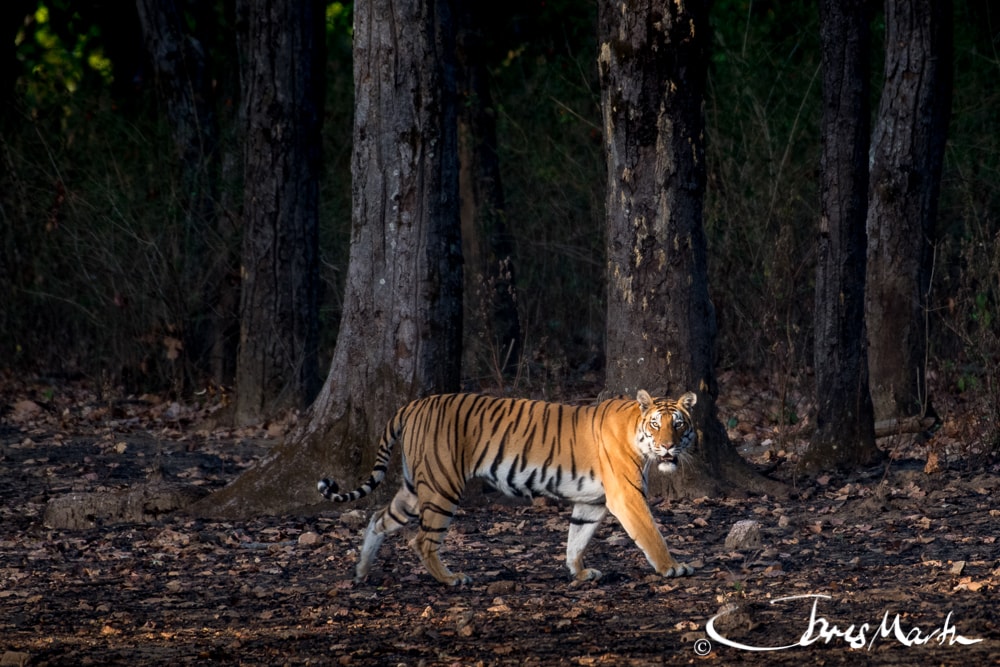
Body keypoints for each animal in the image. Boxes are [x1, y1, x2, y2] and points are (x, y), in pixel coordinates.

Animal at [317, 389, 698, 586]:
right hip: (442, 486)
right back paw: (452, 579)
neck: (637, 433)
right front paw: (672, 568)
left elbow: (577, 538)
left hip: (413, 489)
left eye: (679, 425)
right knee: (421, 540)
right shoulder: (627, 495)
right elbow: (651, 533)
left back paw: (361, 572)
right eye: (657, 424)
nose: (668, 447)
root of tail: (414, 403)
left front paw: (579, 572)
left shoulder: (591, 503)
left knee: (378, 519)